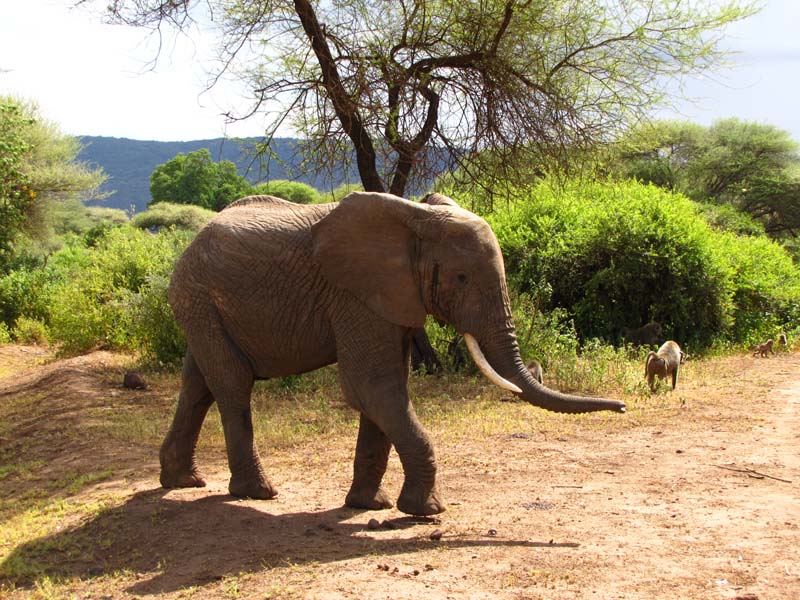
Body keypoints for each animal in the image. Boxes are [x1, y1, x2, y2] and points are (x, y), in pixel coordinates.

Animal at [159, 191, 626, 516]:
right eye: (460, 278)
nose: (622, 408)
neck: (415, 218)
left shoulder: (390, 297)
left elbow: (385, 391)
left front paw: (370, 505)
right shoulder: (355, 294)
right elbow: (373, 387)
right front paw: (426, 512)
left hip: (202, 305)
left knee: (197, 382)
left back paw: (182, 481)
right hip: (198, 295)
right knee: (232, 384)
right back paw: (256, 492)